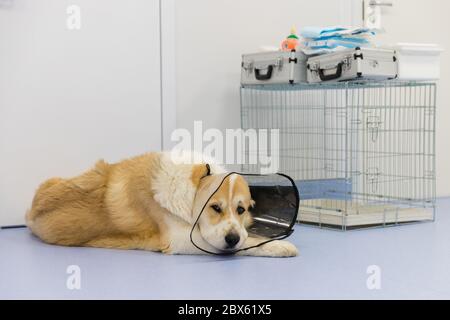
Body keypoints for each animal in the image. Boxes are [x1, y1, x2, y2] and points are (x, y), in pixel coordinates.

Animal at [25, 152, 298, 258]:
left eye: (241, 210)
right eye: (215, 208)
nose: (232, 238)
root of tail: (30, 212)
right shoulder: (180, 240)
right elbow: (249, 244)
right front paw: (280, 246)